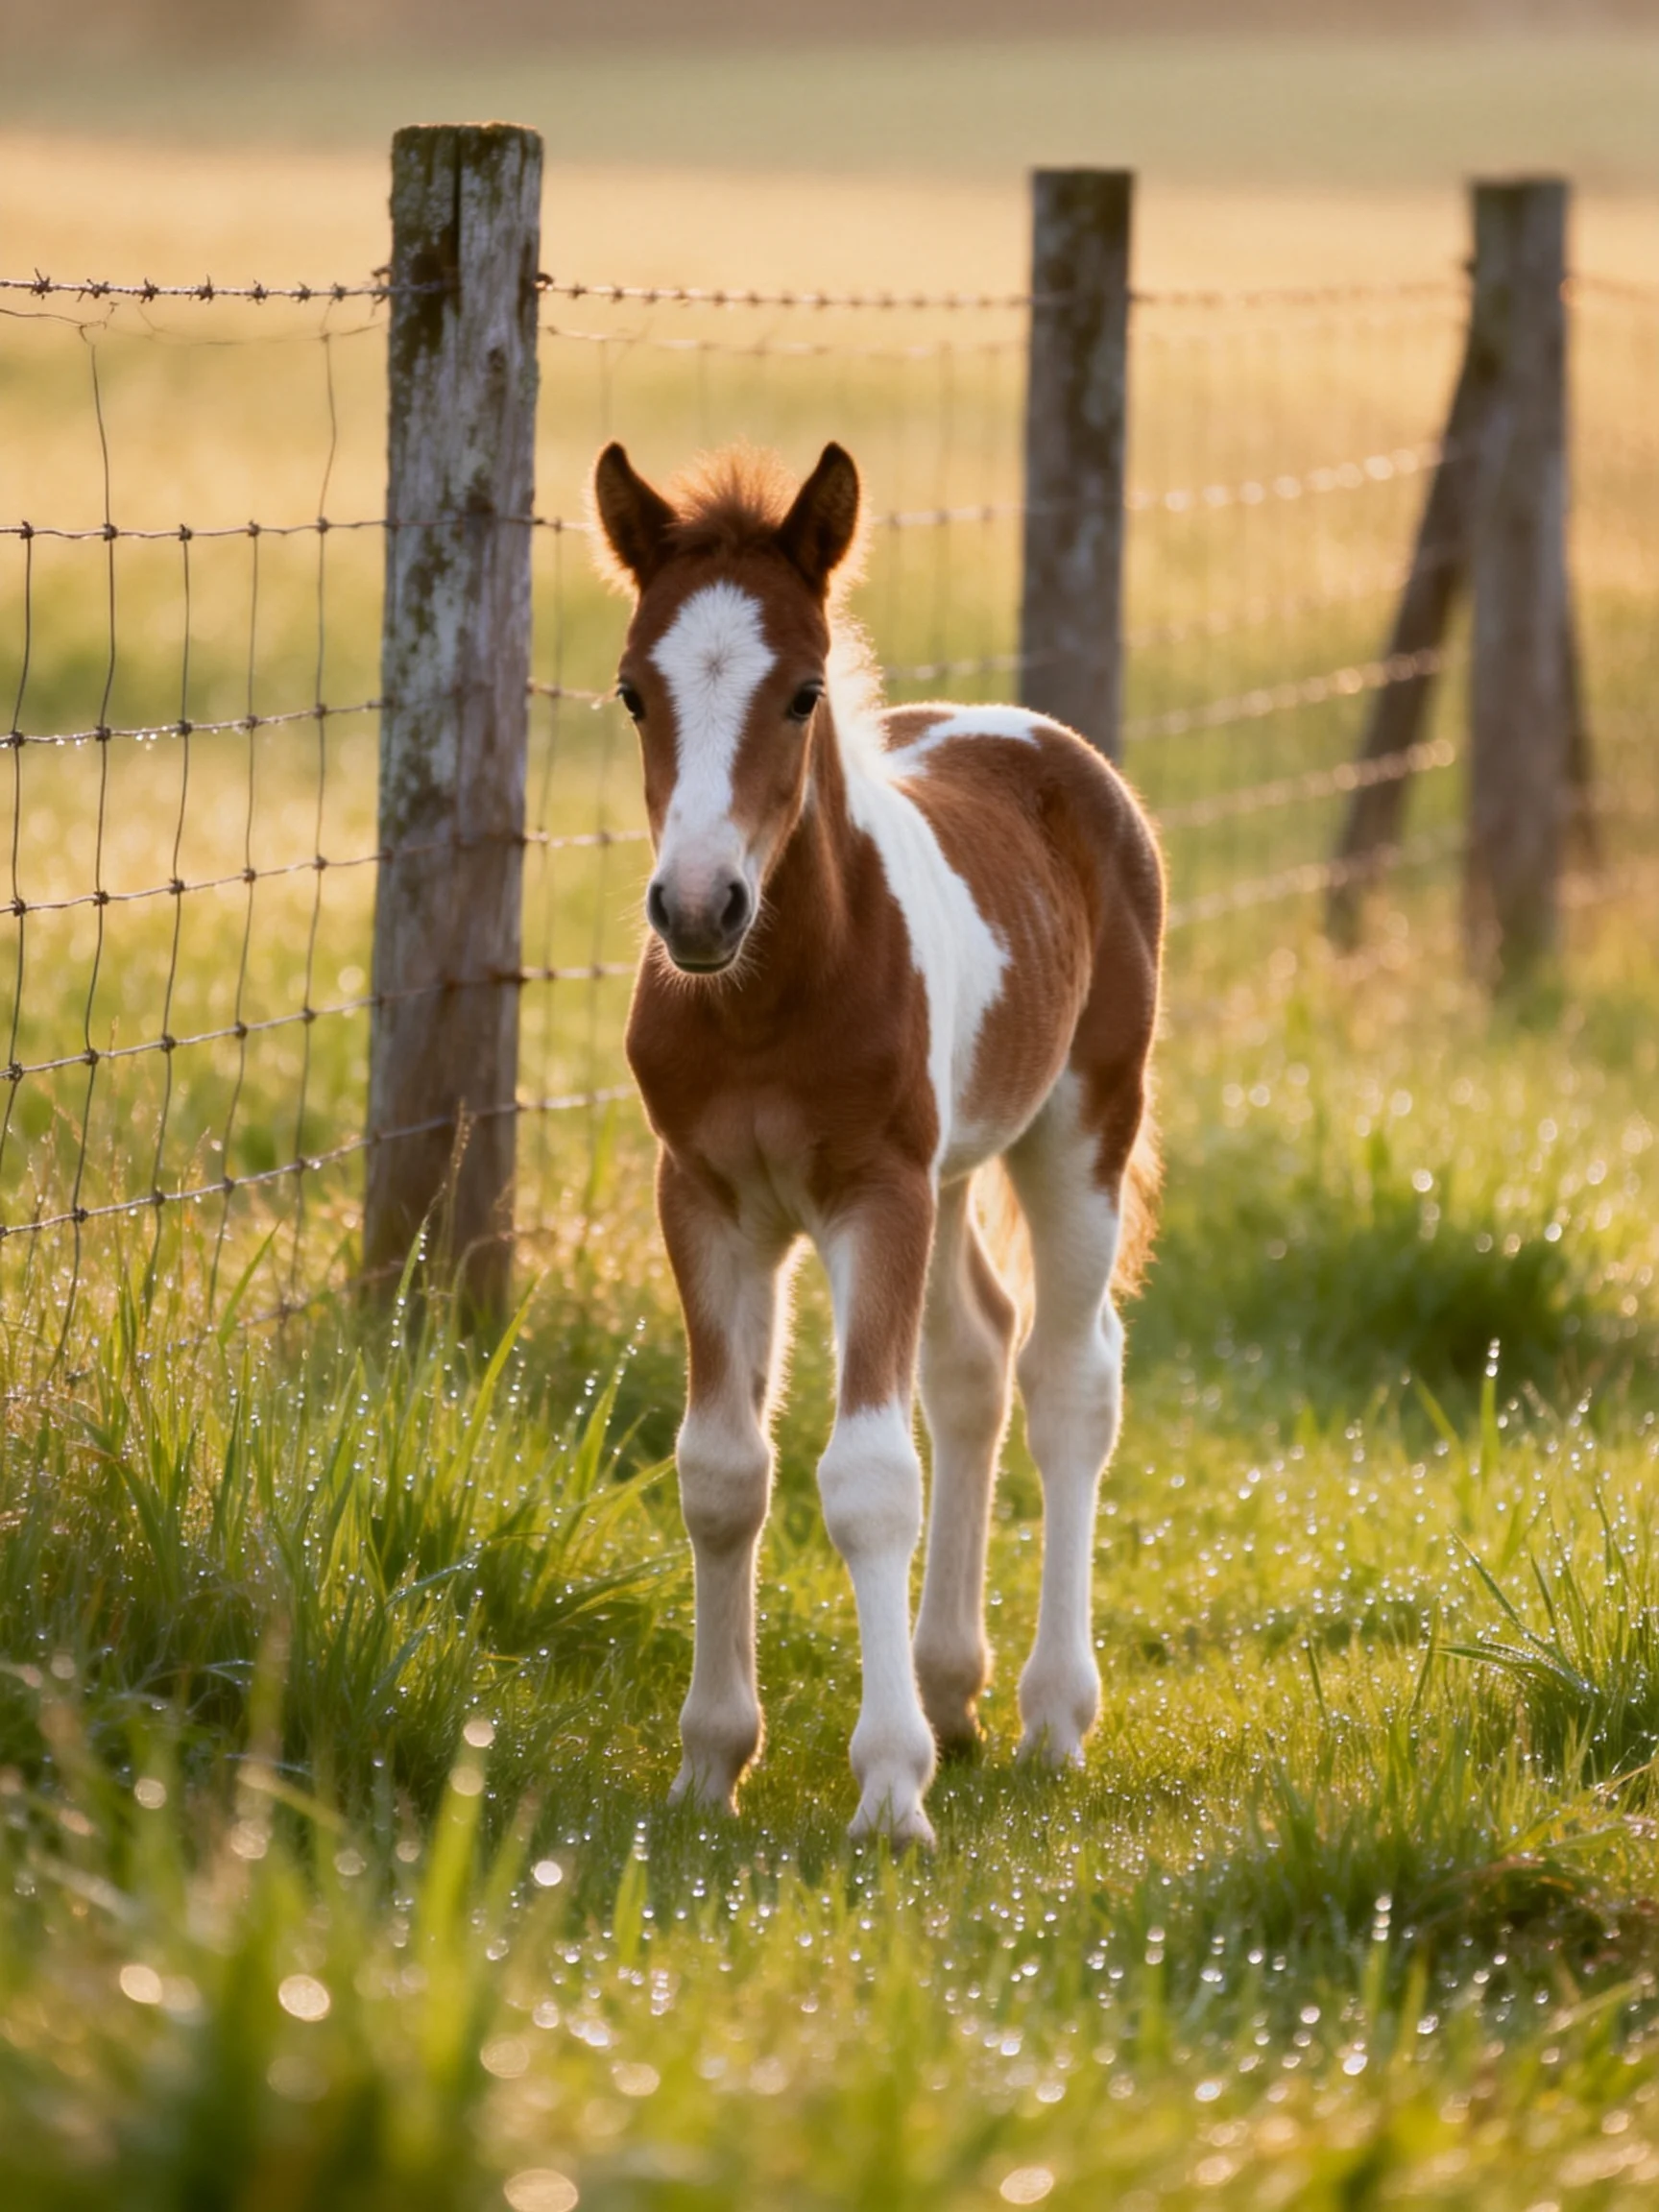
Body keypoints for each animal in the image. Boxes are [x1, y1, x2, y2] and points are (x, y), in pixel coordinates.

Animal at [591, 439, 1163, 1847]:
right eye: (632, 694)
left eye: (802, 694)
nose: (697, 907)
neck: (768, 998)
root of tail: (1036, 736)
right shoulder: (706, 1200)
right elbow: (721, 1470)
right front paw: (710, 1763)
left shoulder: (873, 1195)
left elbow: (865, 1478)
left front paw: (890, 1788)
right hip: (953, 1173)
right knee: (976, 1357)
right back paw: (954, 1690)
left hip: (1077, 1132)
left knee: (1070, 1377)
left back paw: (1049, 1715)